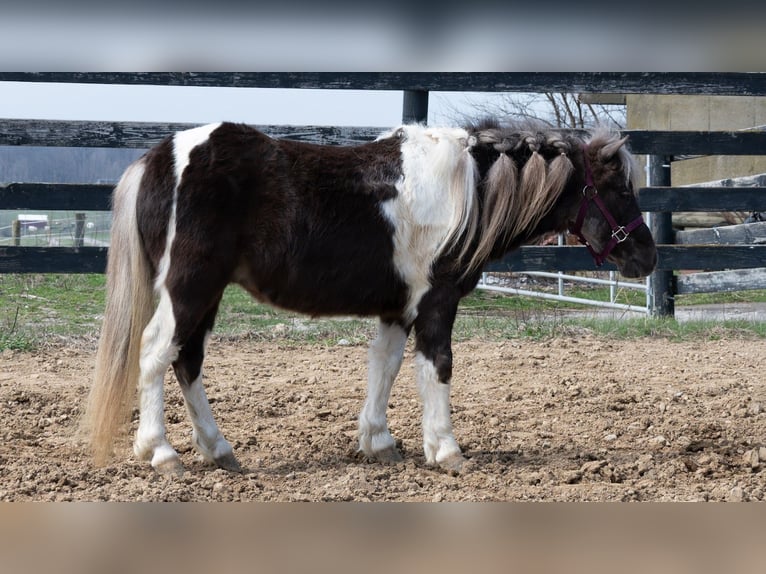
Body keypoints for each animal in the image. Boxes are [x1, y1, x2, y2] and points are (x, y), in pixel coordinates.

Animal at [84, 120, 657, 476]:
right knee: (156, 354)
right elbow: (438, 367)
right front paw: (446, 450)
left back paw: (218, 449)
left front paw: (379, 442)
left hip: (206, 295)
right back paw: (162, 453)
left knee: (188, 361)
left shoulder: (396, 309)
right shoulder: (436, 302)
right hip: (188, 288)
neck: (464, 190)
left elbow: (386, 366)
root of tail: (159, 159)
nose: (647, 258)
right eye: (619, 190)